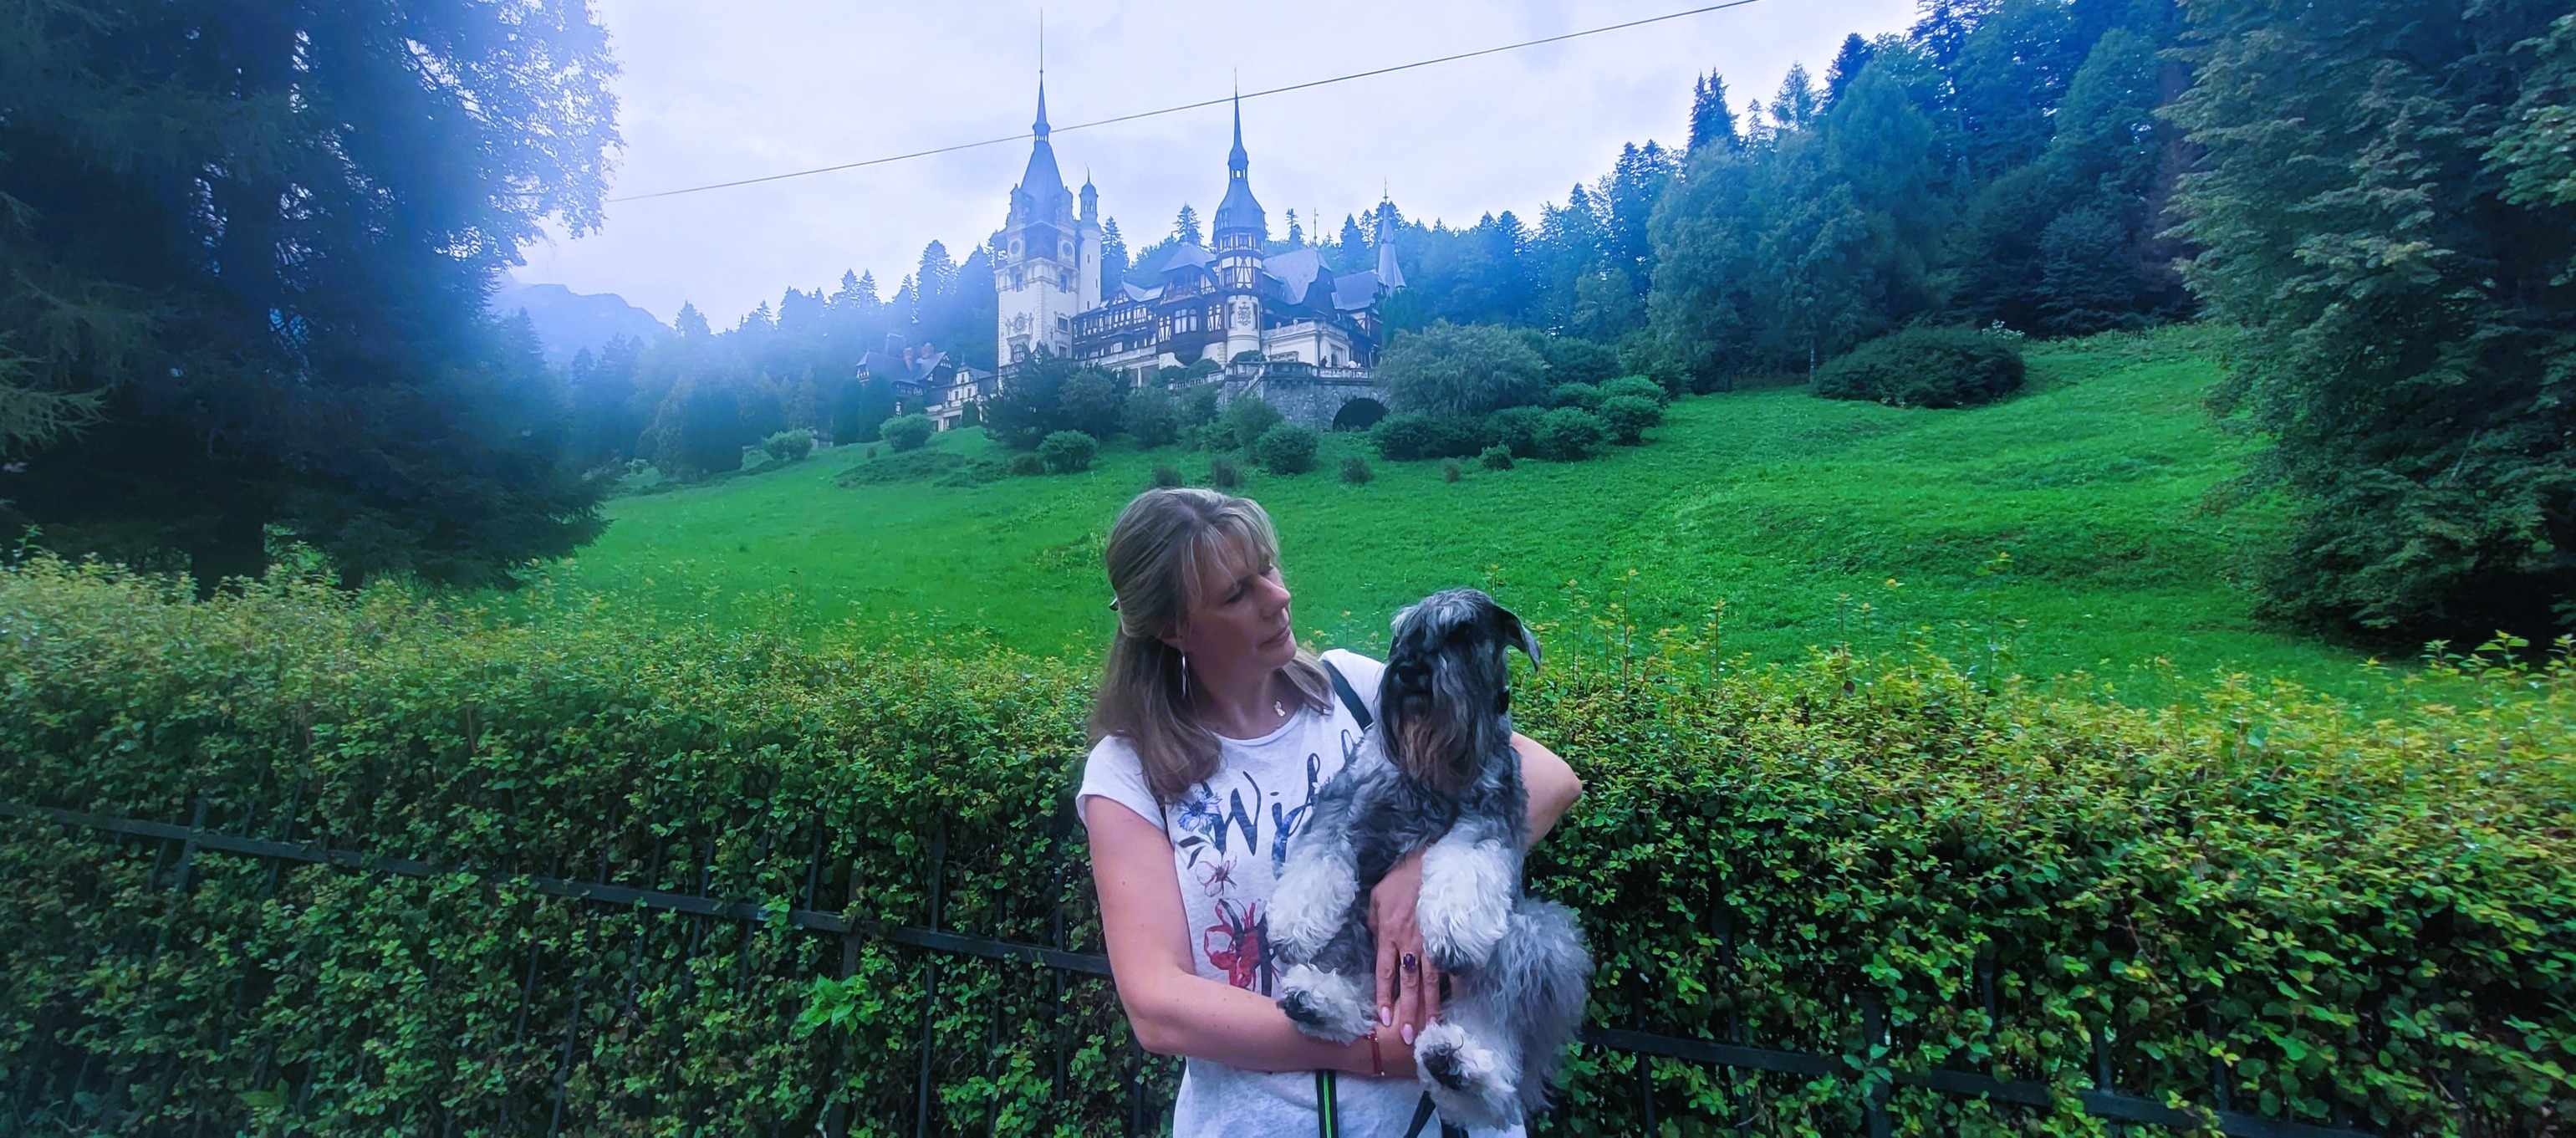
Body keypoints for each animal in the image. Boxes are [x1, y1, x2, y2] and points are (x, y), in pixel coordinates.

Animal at [1267, 592, 1586, 1122]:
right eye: (1401, 633)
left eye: (1461, 633)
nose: (1409, 671)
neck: (1430, 767)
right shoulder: (1345, 805)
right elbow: (1317, 859)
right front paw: (1292, 922)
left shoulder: (1489, 818)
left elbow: (1464, 869)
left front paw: (1454, 929)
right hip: (1361, 913)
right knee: (1356, 977)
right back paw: (1319, 1000)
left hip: (1539, 935)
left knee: (1497, 1027)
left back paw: (1461, 1066)